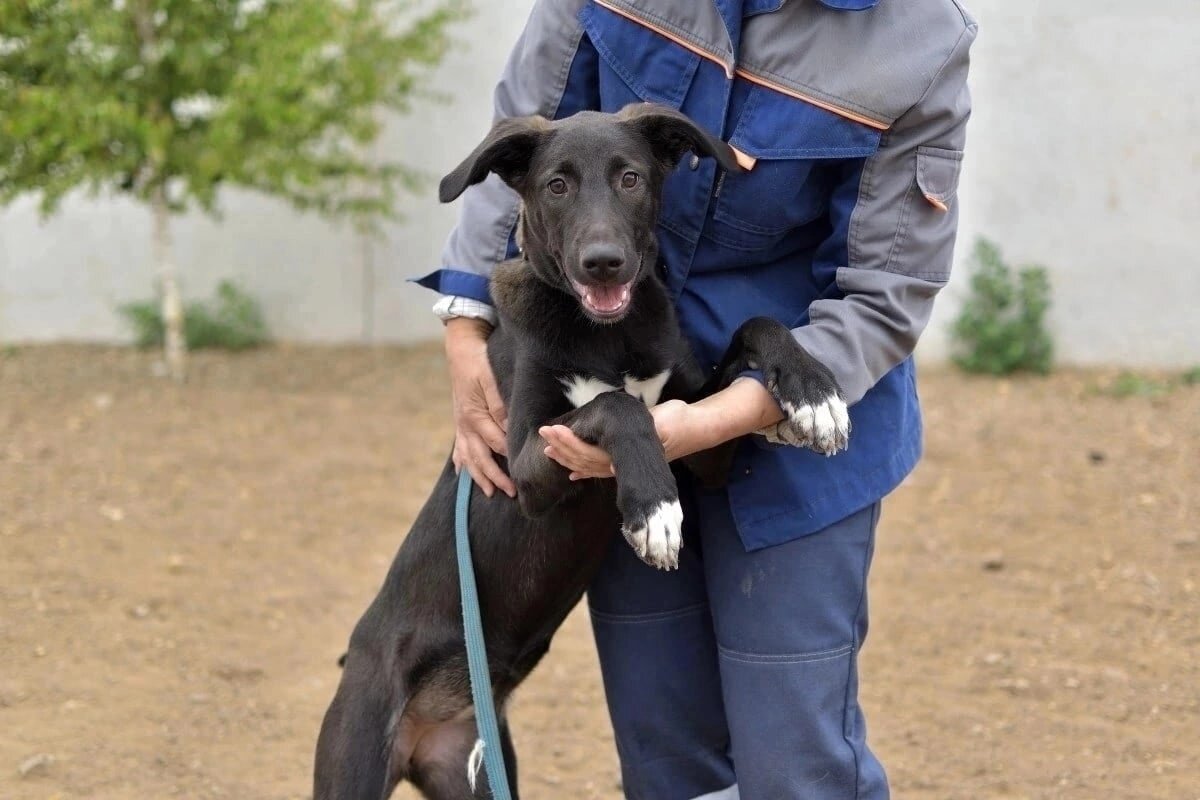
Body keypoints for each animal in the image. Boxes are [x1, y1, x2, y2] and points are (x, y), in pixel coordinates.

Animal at [314, 104, 849, 800]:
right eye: (557, 186)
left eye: (630, 178)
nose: (604, 263)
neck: (610, 336)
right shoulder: (526, 466)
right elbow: (617, 407)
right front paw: (655, 509)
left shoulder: (702, 441)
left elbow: (757, 325)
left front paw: (812, 391)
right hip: (356, 750)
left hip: (477, 772)